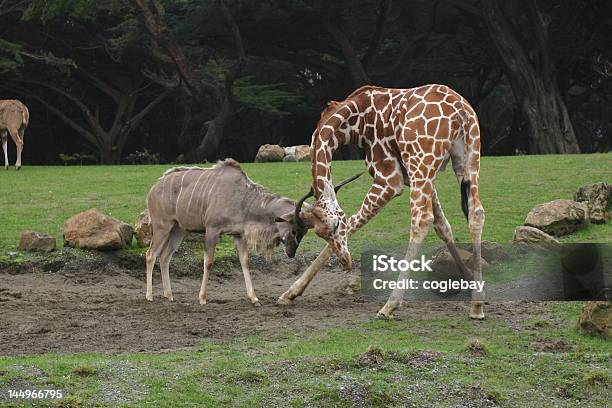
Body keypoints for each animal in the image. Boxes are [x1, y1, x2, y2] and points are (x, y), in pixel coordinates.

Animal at [146, 159, 360, 306]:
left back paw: (169, 295)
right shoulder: (212, 230)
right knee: (151, 254)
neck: (242, 199)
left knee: (164, 257)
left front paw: (254, 298)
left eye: (303, 232)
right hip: (162, 226)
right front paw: (202, 298)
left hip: (178, 230)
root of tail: (153, 189)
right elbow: (209, 262)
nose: (291, 253)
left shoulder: (239, 235)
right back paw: (149, 296)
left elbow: (245, 262)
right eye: (293, 229)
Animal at [280, 83, 486, 318]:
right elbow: (443, 226)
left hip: (422, 162)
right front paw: (471, 284)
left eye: (336, 225)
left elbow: (353, 223)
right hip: (467, 158)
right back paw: (477, 306)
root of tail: (461, 111)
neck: (356, 121)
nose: (346, 261)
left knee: (421, 220)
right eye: (319, 234)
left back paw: (389, 305)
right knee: (476, 213)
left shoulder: (389, 179)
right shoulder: (413, 176)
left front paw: (290, 292)